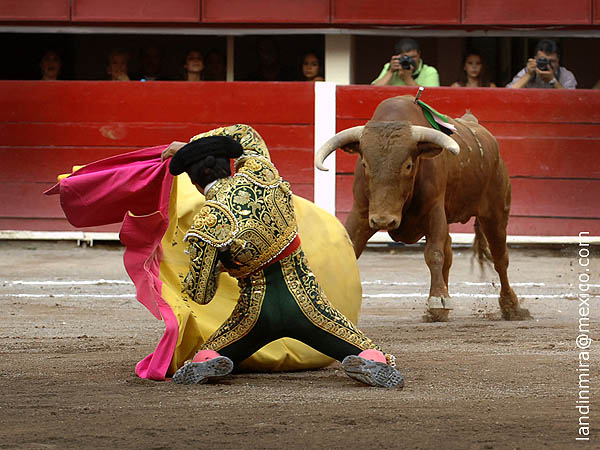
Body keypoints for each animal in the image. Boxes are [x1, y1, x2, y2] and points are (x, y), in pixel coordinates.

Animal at [314, 94, 528, 320]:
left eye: (408, 165)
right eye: (365, 164)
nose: (383, 220)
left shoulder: (434, 212)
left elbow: (433, 253)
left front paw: (437, 299)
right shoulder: (362, 213)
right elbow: (350, 250)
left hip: (496, 213)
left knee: (499, 257)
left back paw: (511, 306)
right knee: (450, 253)